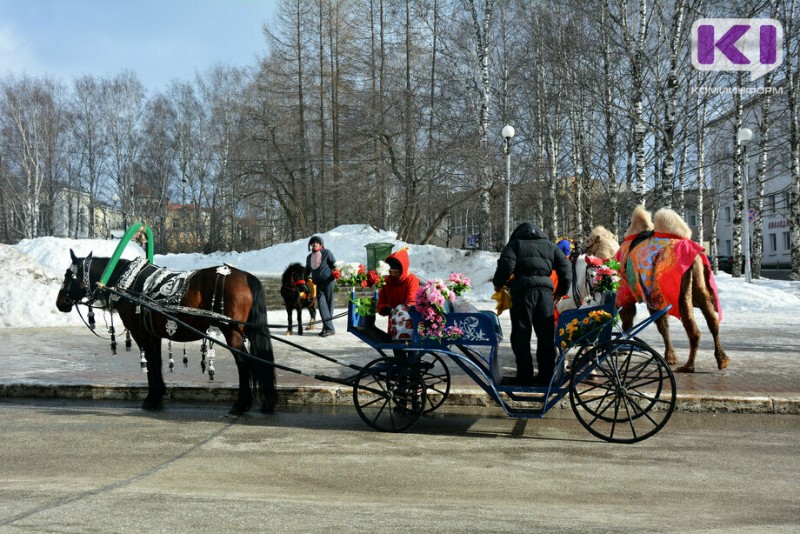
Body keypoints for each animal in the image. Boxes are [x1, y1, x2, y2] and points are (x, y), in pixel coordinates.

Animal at [55, 249, 278, 416]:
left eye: (68, 275)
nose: (60, 302)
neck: (129, 284)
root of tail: (247, 276)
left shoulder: (140, 332)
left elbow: (150, 361)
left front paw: (151, 399)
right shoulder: (153, 333)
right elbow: (157, 361)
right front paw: (157, 395)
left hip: (231, 331)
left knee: (244, 362)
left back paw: (241, 404)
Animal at [616, 207, 728, 374]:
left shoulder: (635, 292)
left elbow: (655, 324)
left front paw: (669, 357)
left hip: (682, 293)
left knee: (693, 329)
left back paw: (688, 366)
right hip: (700, 288)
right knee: (713, 321)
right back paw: (722, 360)